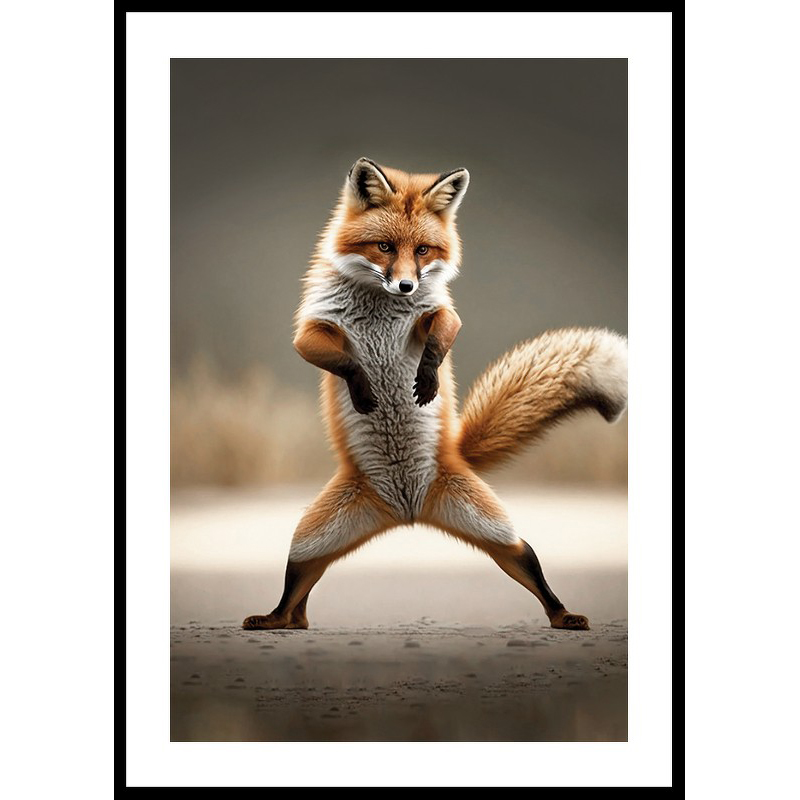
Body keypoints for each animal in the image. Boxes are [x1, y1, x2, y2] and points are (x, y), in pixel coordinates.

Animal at [242, 157, 627, 632]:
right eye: (385, 247)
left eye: (423, 250)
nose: (406, 287)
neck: (380, 308)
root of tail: (407, 513)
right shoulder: (313, 329)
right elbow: (345, 361)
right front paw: (365, 388)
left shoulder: (438, 313)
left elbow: (443, 333)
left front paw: (427, 379)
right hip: (310, 542)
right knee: (298, 592)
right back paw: (278, 620)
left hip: (495, 533)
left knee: (529, 561)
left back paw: (563, 615)